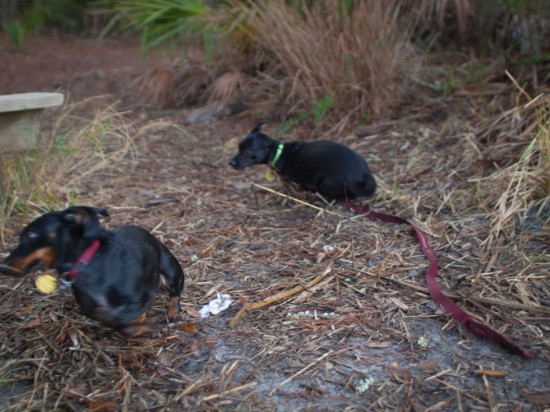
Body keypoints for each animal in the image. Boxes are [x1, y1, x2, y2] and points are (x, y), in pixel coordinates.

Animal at [0, 206, 187, 338]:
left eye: (30, 235)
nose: (3, 266)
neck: (88, 264)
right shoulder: (92, 308)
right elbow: (115, 320)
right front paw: (140, 324)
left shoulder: (143, 294)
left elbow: (121, 319)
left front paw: (146, 325)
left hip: (171, 275)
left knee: (175, 294)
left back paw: (172, 312)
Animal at [230, 123, 380, 200]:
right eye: (238, 148)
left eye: (246, 153)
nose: (230, 163)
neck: (278, 153)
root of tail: (363, 174)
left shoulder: (294, 181)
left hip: (325, 181)